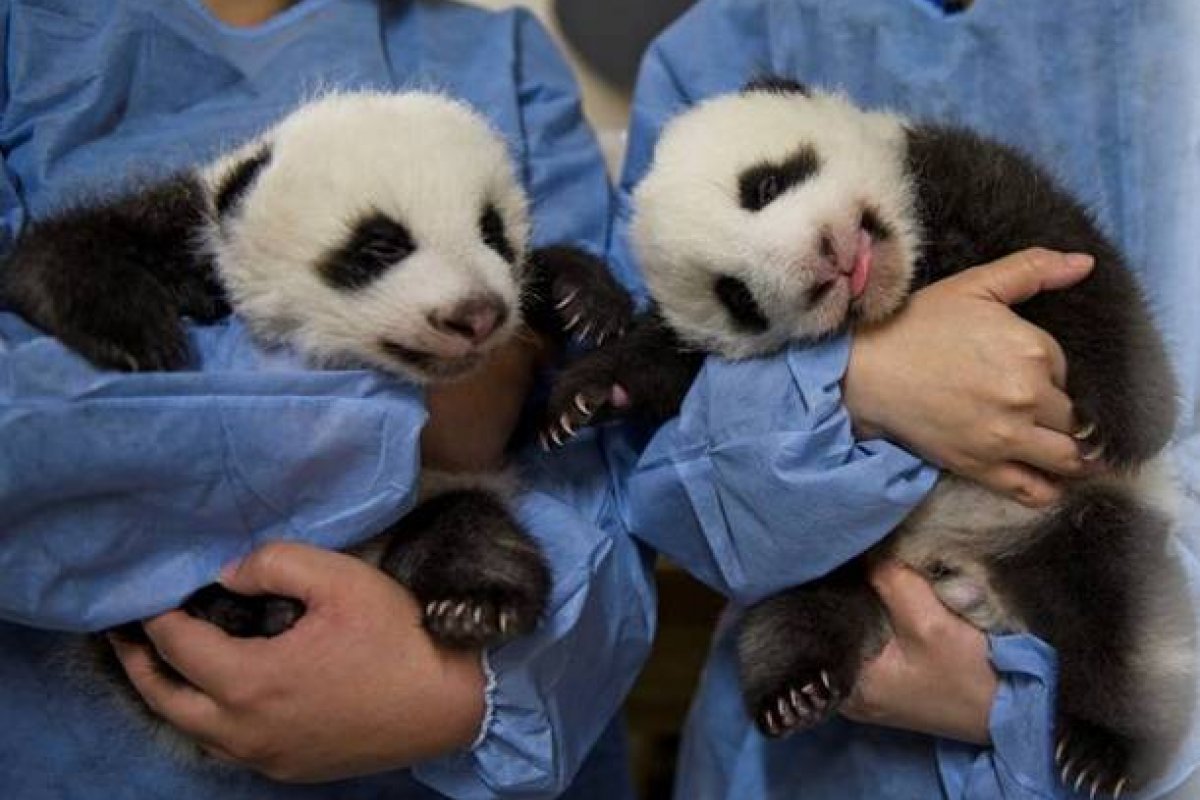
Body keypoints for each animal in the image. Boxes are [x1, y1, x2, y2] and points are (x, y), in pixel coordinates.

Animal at [2, 90, 630, 748]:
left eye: (493, 231)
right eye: (381, 245)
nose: (476, 314)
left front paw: (581, 299)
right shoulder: (189, 232)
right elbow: (69, 251)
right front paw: (130, 330)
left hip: (444, 499)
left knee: (467, 527)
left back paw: (476, 603)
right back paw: (234, 610)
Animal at [542, 78, 1195, 796]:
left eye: (765, 185)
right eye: (737, 296)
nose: (823, 269)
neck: (906, 281)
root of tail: (974, 585)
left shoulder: (963, 178)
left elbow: (1076, 269)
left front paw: (1120, 420)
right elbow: (670, 374)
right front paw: (587, 391)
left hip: (1080, 517)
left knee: (1128, 629)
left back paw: (1102, 751)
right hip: (826, 556)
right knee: (796, 610)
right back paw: (795, 686)